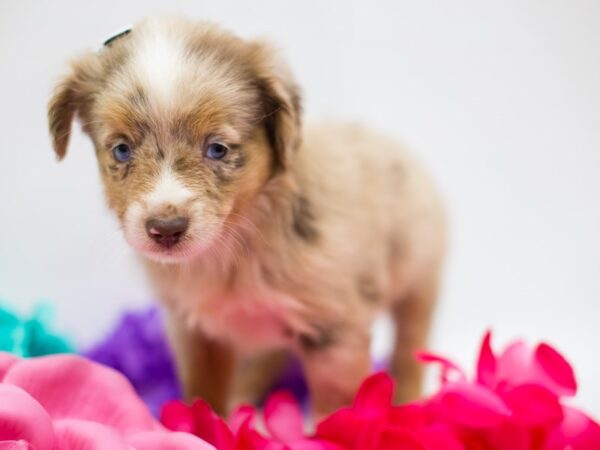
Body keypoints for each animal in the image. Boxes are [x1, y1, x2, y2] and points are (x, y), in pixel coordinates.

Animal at [47, 18, 446, 418]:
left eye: (217, 149)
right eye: (121, 149)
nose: (166, 230)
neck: (232, 244)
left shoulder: (336, 332)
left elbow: (336, 411)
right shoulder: (195, 331)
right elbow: (203, 395)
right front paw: (199, 425)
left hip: (420, 278)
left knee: (409, 345)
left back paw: (411, 401)